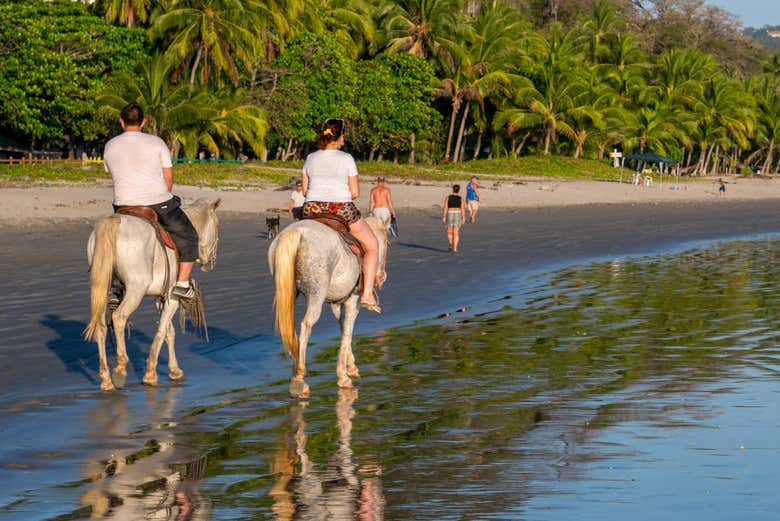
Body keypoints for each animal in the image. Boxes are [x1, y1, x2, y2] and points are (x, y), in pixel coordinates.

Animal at [84, 198, 221, 391]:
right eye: (217, 226)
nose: (211, 263)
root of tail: (114, 221)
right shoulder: (172, 297)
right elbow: (162, 330)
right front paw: (150, 374)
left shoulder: (160, 298)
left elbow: (169, 331)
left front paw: (174, 370)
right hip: (136, 291)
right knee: (119, 317)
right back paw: (120, 368)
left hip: (102, 289)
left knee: (101, 326)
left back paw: (106, 379)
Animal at [269, 216, 389, 397]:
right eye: (387, 242)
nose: (382, 277)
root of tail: (297, 231)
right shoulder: (352, 301)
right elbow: (348, 331)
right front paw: (344, 377)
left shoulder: (337, 305)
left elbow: (343, 328)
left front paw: (350, 367)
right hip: (316, 295)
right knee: (306, 325)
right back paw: (299, 378)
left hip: (288, 292)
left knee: (289, 329)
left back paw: (294, 372)